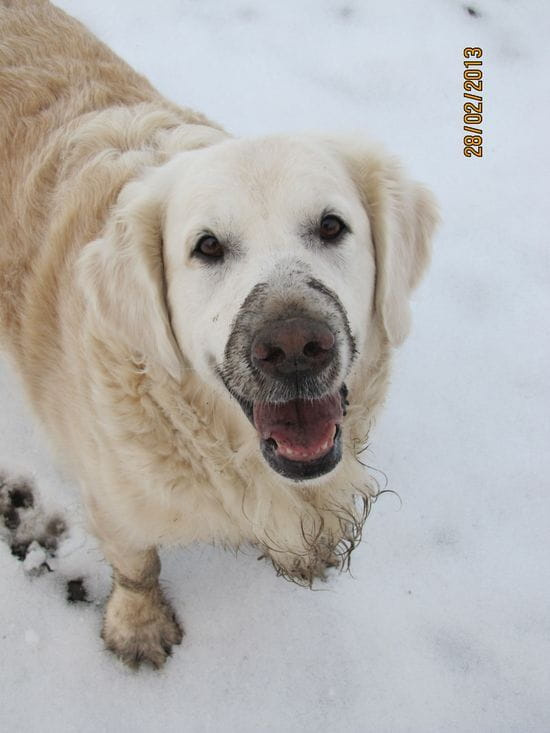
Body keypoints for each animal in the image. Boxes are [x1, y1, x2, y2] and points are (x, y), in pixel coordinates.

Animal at [1, 0, 440, 668]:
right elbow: (136, 561)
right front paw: (138, 624)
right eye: (206, 247)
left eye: (332, 226)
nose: (294, 347)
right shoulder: (110, 493)